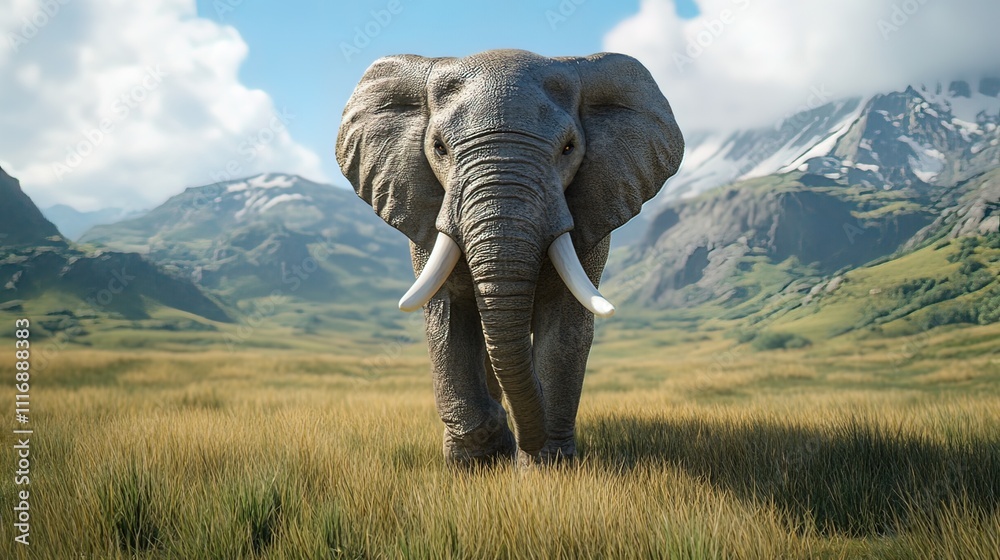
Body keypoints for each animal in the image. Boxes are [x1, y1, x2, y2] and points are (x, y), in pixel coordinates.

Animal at [336, 49, 683, 466]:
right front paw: (476, 458)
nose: (522, 440)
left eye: (568, 149)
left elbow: (566, 325)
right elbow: (447, 316)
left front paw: (546, 468)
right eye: (439, 148)